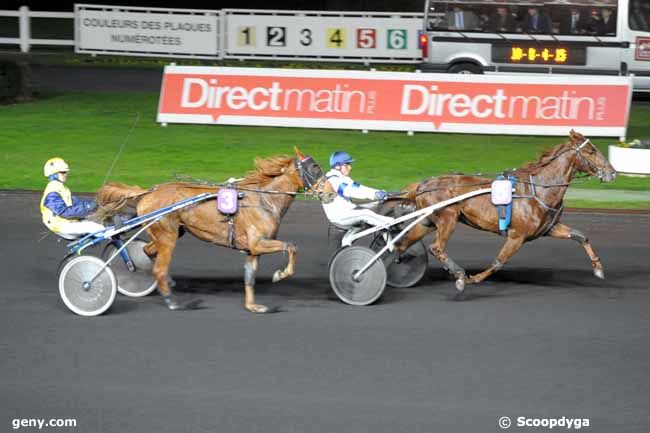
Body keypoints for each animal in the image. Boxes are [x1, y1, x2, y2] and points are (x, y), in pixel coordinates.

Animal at [96, 147, 324, 312]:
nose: (328, 191)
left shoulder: (254, 249)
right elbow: (292, 246)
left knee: (148, 251)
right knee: (158, 268)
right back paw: (173, 301)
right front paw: (280, 274)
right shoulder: (258, 243)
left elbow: (249, 276)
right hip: (167, 235)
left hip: (174, 231)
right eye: (314, 168)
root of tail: (150, 192)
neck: (264, 200)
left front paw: (253, 306)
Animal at [394, 130, 612, 296]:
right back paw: (459, 273)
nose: (611, 172)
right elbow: (499, 262)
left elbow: (581, 236)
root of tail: (423, 184)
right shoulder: (517, 236)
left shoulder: (548, 228)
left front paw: (599, 269)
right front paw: (471, 279)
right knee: (436, 247)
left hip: (427, 223)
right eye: (592, 151)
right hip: (448, 219)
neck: (539, 188)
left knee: (402, 244)